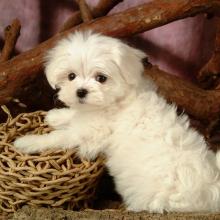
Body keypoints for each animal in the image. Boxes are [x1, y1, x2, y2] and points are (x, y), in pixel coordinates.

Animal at [13, 31, 220, 213]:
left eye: (101, 78)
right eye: (71, 76)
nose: (80, 92)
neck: (116, 100)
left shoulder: (91, 134)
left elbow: (59, 137)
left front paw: (28, 142)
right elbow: (74, 116)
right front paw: (57, 115)